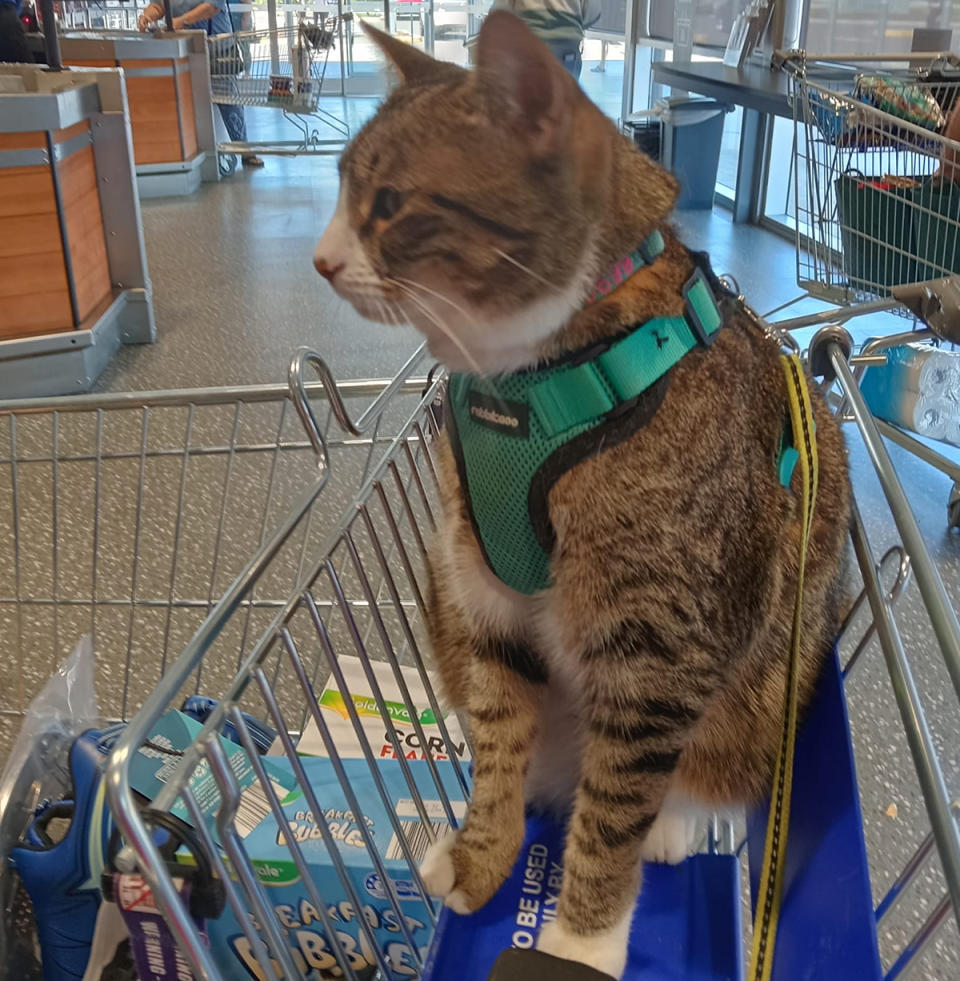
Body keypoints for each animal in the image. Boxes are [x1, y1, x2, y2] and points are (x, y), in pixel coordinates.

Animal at [314, 13, 848, 972]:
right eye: (342, 189)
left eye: (391, 203)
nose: (322, 259)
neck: (539, 377)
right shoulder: (483, 598)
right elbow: (498, 738)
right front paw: (483, 851)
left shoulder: (657, 654)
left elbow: (614, 812)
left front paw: (578, 936)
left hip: (759, 699)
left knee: (687, 775)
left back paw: (671, 822)